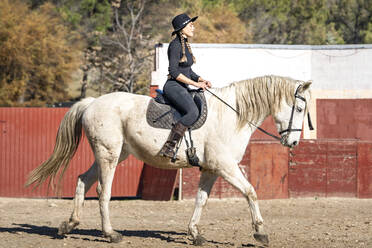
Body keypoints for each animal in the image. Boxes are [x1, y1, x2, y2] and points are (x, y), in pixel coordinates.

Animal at [26, 75, 310, 246]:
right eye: (298, 108)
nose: (294, 143)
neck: (230, 116)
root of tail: (93, 102)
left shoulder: (210, 169)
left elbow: (201, 200)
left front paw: (195, 233)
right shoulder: (225, 166)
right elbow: (251, 192)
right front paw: (261, 232)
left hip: (112, 153)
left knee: (83, 181)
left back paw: (69, 225)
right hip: (109, 154)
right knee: (102, 191)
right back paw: (110, 234)